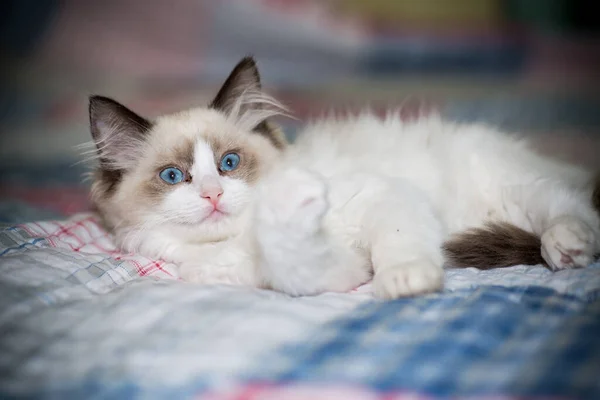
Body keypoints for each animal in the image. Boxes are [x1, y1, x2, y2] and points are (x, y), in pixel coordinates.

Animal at [89, 57, 600, 298]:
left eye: (229, 164)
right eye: (174, 175)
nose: (213, 195)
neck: (247, 237)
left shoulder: (383, 195)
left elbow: (398, 244)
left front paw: (405, 281)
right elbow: (300, 265)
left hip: (505, 185)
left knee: (570, 207)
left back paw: (565, 247)